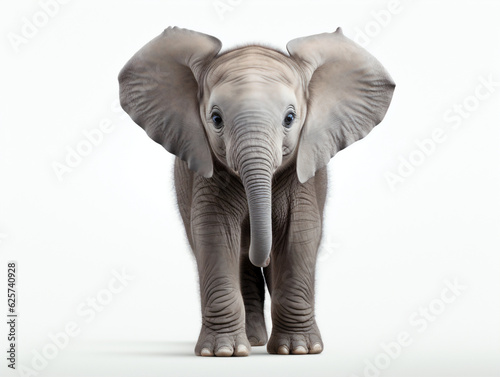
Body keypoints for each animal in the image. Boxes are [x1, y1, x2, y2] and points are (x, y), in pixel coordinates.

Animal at [118, 25, 394, 356]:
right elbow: (214, 236)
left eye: (290, 118)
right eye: (216, 119)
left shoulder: (302, 179)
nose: (260, 257)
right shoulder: (208, 176)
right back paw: (251, 341)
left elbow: (299, 235)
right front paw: (222, 352)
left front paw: (298, 350)